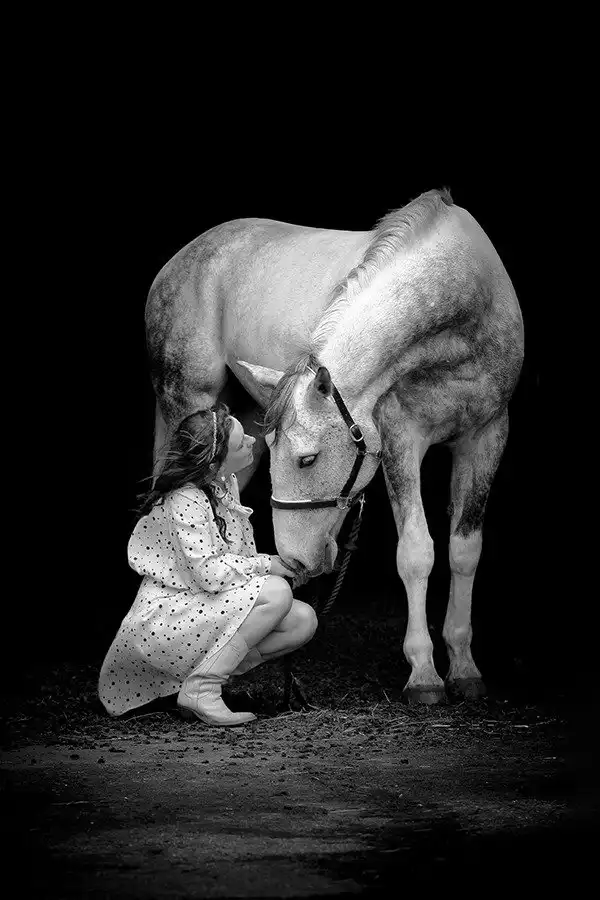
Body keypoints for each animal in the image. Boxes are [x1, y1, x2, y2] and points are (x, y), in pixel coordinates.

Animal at [145, 188, 524, 704]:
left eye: (307, 459)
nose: (295, 561)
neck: (464, 300)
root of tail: (181, 258)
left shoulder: (487, 435)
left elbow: (464, 550)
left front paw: (464, 667)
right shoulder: (401, 437)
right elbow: (416, 553)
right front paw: (424, 674)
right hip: (188, 401)